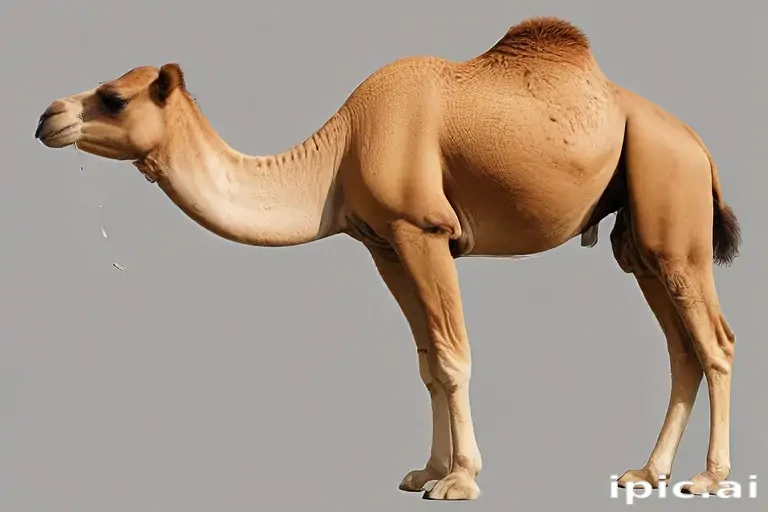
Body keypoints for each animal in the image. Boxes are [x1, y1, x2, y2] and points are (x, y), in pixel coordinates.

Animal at [34, 17, 741, 501]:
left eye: (113, 97)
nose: (46, 116)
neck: (339, 152)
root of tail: (700, 145)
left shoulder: (423, 230)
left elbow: (453, 357)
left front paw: (460, 480)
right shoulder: (383, 244)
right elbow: (427, 363)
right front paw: (426, 470)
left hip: (671, 203)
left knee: (716, 341)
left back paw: (708, 479)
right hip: (641, 240)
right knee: (679, 345)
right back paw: (646, 472)